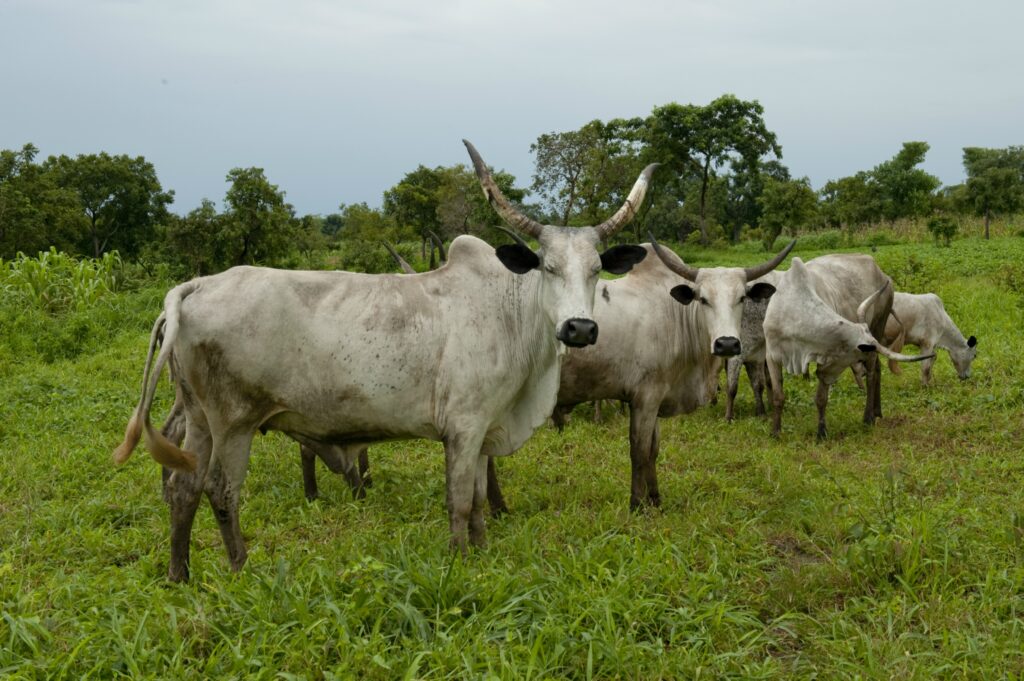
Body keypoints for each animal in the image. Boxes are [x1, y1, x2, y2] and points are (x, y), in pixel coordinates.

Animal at [112, 140, 655, 581]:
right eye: (547, 266)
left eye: (597, 268)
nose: (580, 329)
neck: (508, 311)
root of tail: (195, 285)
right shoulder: (463, 428)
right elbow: (460, 501)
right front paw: (460, 562)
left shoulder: (485, 429)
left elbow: (481, 500)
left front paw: (481, 553)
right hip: (233, 422)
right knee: (221, 491)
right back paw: (241, 569)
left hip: (200, 418)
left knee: (183, 486)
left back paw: (180, 575)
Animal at [765, 256, 933, 440]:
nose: (822, 374)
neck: (795, 314)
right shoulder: (772, 355)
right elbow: (778, 397)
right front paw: (775, 432)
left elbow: (821, 398)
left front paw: (821, 432)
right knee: (877, 369)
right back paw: (877, 411)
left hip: (879, 325)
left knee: (873, 373)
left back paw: (869, 417)